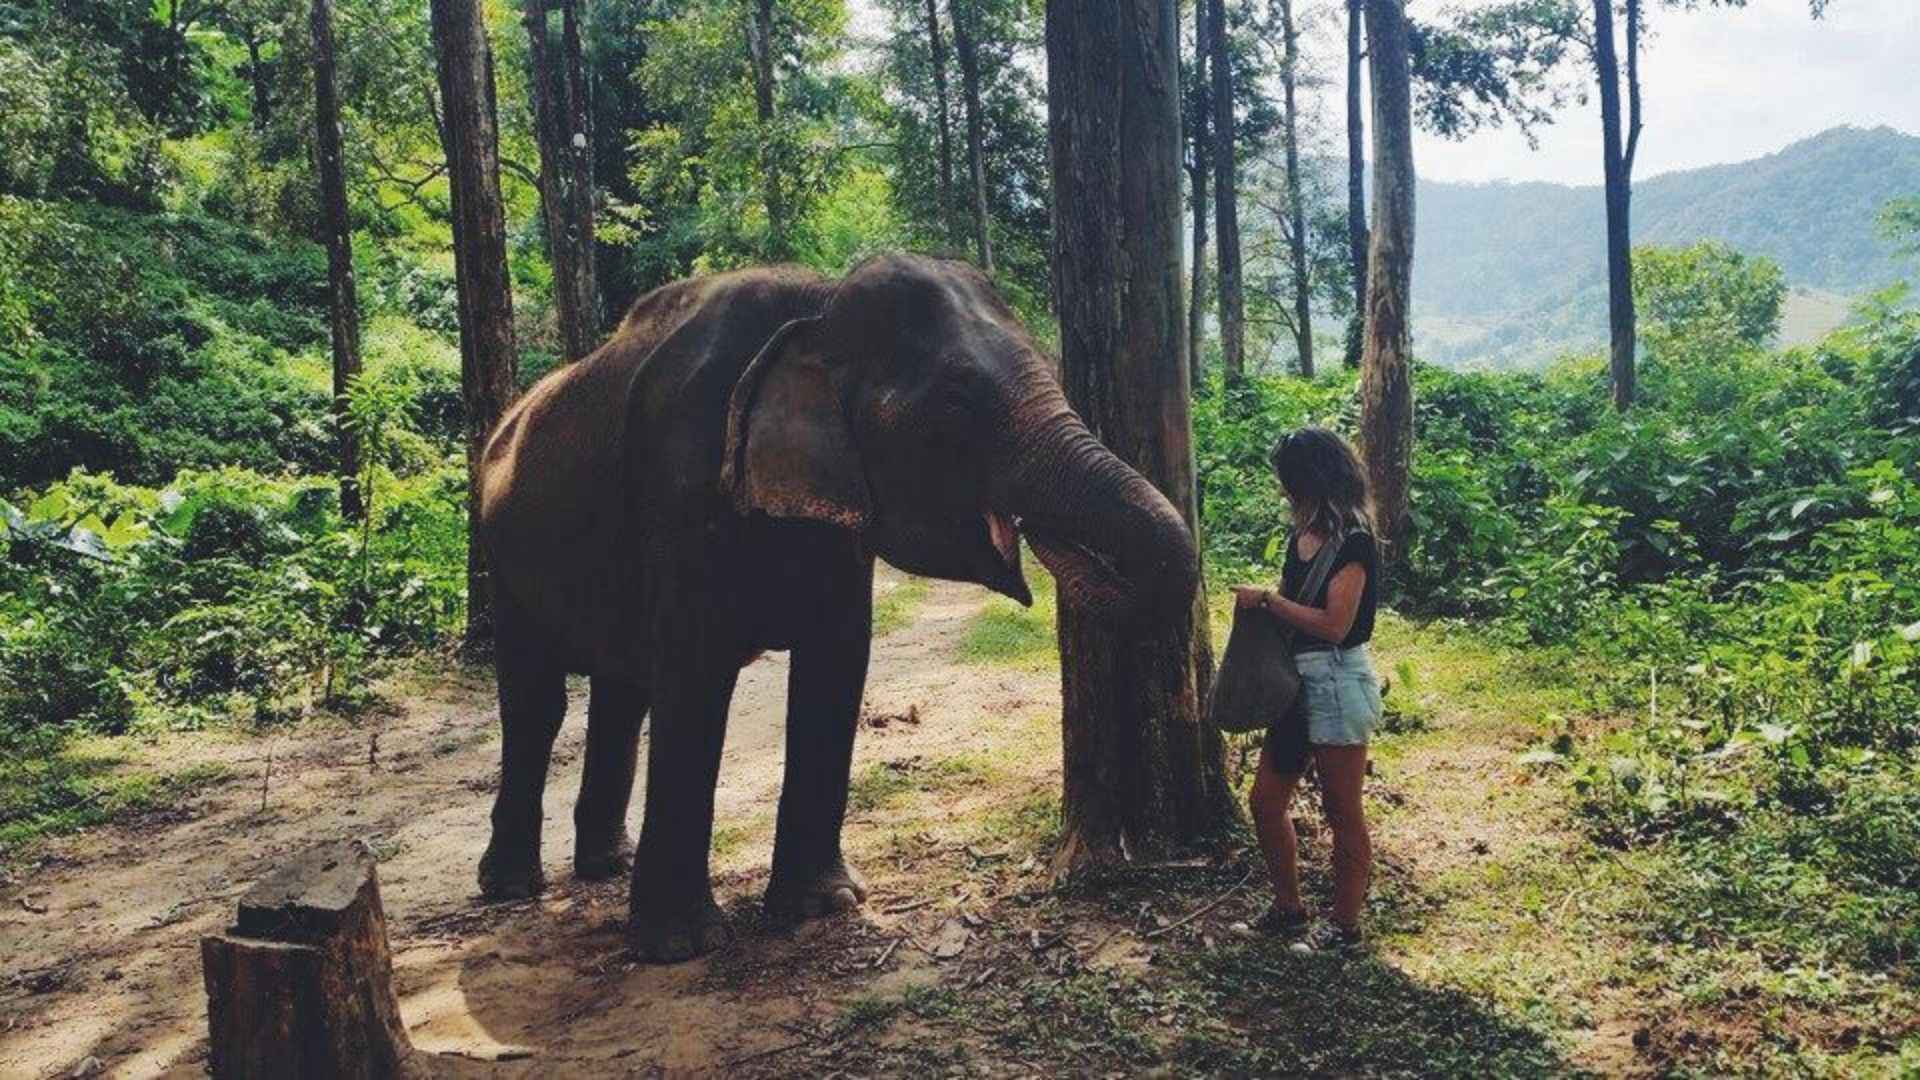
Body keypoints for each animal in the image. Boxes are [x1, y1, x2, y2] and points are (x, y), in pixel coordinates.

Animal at [476, 253, 1198, 957]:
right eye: (958, 401)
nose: (1031, 533)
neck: (818, 303)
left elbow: (838, 662)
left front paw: (823, 907)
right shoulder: (681, 490)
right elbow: (694, 680)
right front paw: (680, 944)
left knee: (621, 693)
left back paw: (608, 864)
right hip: (496, 553)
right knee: (537, 699)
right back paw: (510, 885)